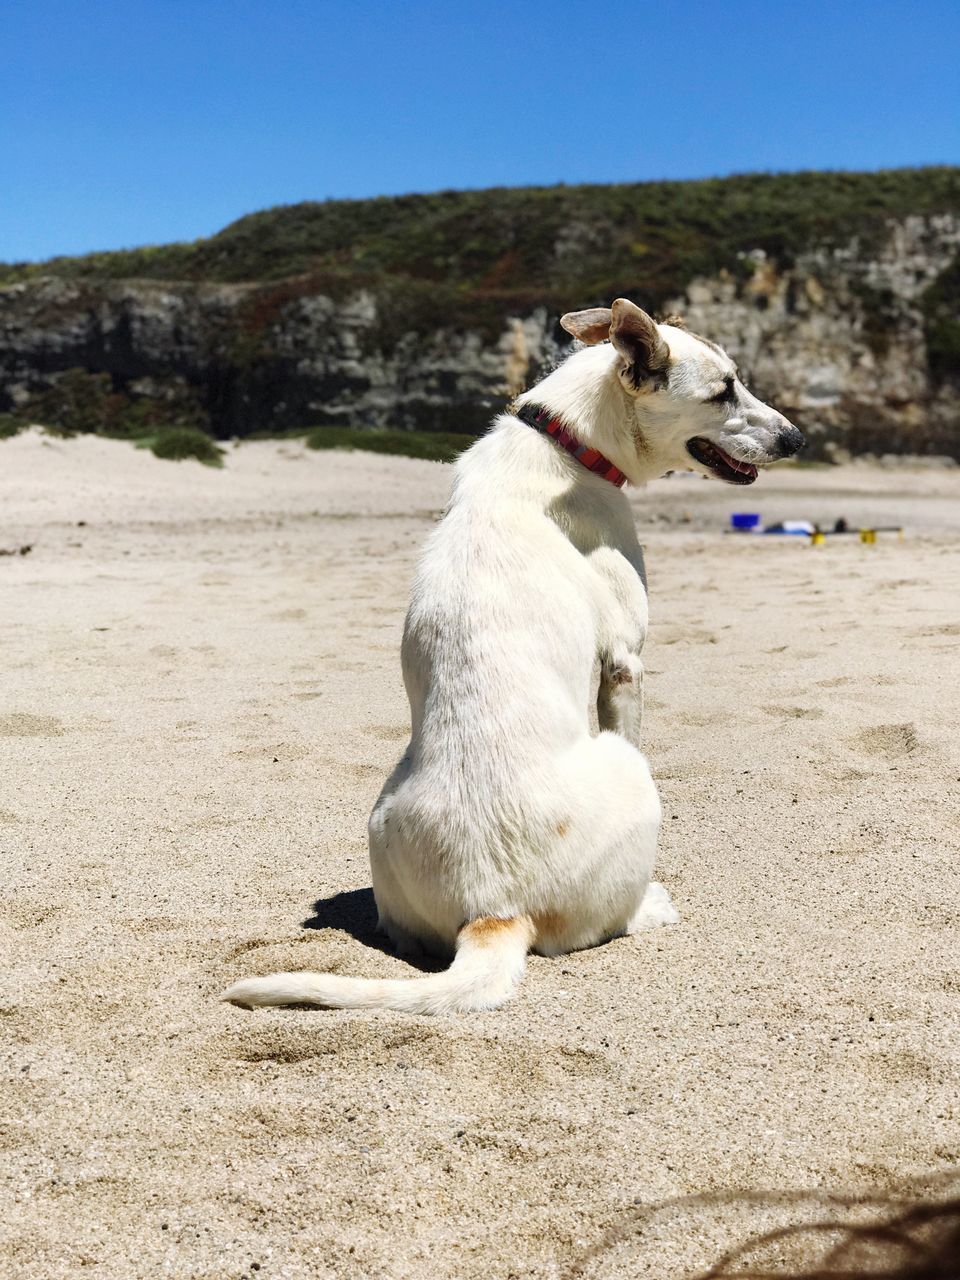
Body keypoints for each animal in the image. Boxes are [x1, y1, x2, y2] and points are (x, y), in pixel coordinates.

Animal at [225, 294, 803, 1013]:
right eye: (723, 390)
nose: (798, 440)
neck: (567, 440)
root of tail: (494, 909)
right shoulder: (625, 662)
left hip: (382, 821)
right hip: (630, 775)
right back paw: (652, 904)